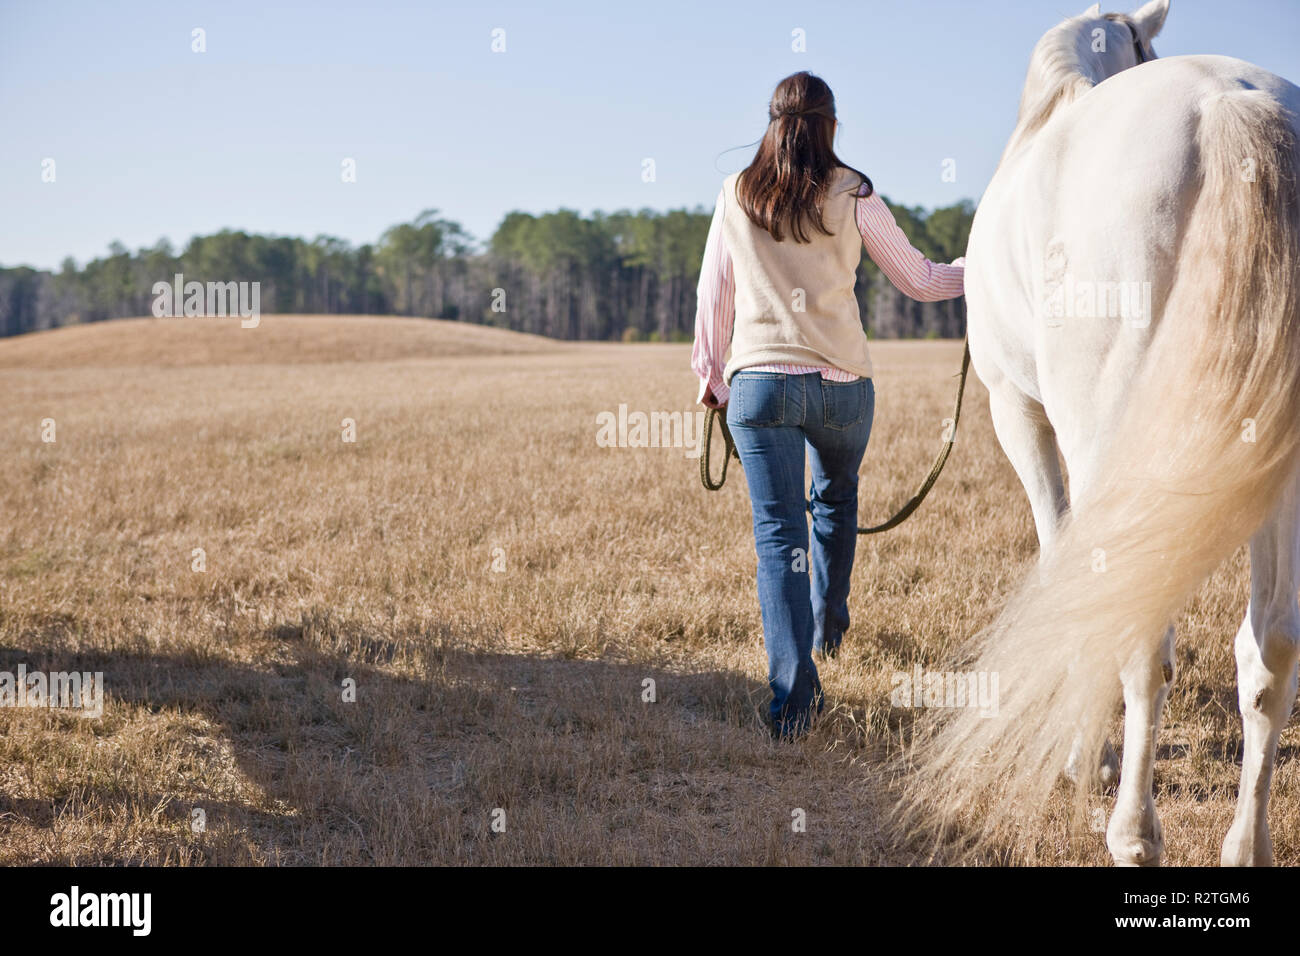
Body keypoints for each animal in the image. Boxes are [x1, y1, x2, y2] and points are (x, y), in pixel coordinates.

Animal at [904, 0, 1300, 866]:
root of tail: (1234, 103)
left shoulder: (1018, 413)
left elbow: (1066, 573)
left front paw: (1084, 758)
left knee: (1139, 626)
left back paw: (1132, 833)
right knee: (1273, 646)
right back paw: (1245, 846)